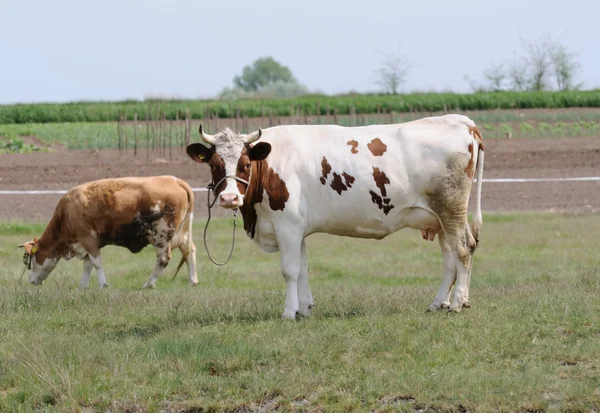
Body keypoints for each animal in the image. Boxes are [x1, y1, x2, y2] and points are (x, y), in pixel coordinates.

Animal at [18, 175, 197, 288]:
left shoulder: (88, 238)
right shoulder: (88, 243)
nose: (31, 281)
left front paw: (103, 284)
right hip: (182, 233)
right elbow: (88, 265)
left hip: (161, 235)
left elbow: (96, 263)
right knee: (189, 251)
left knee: (163, 259)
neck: (66, 213)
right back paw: (193, 280)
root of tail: (175, 181)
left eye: (30, 260)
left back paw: (148, 284)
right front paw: (83, 286)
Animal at [186, 114, 482, 318]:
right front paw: (304, 309)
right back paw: (439, 303)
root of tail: (460, 121)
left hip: (451, 210)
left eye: (245, 164)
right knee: (450, 261)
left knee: (463, 251)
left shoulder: (287, 226)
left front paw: (288, 312)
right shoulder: (297, 228)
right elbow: (303, 269)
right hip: (439, 219)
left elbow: (289, 270)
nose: (229, 198)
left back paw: (457, 303)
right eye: (214, 164)